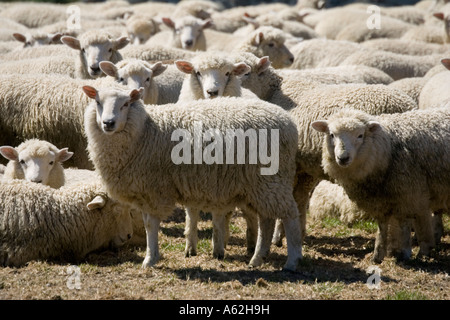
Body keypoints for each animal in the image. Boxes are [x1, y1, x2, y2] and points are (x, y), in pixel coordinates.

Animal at [83, 86, 304, 272]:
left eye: (126, 103)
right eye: (97, 102)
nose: (108, 123)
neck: (145, 130)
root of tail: (289, 122)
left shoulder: (155, 190)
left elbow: (151, 226)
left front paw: (150, 259)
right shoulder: (145, 192)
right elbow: (147, 225)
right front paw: (151, 256)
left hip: (271, 179)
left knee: (290, 217)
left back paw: (292, 262)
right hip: (260, 185)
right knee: (266, 220)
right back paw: (257, 259)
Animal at [312, 107, 450, 262]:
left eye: (360, 135)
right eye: (332, 135)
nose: (343, 158)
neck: (387, 147)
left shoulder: (410, 193)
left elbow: (407, 224)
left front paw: (410, 253)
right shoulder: (380, 200)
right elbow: (382, 227)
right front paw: (377, 255)